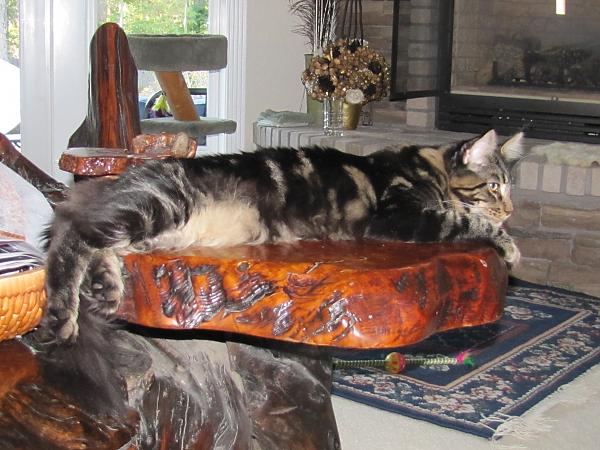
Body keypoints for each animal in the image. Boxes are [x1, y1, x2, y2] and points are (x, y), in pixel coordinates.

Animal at [43, 128, 524, 342]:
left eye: (509, 187)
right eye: (494, 187)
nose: (511, 208)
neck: (430, 169)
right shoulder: (398, 216)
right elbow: (466, 221)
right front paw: (509, 244)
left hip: (149, 226)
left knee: (99, 244)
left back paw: (108, 287)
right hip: (160, 207)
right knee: (73, 242)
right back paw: (62, 317)